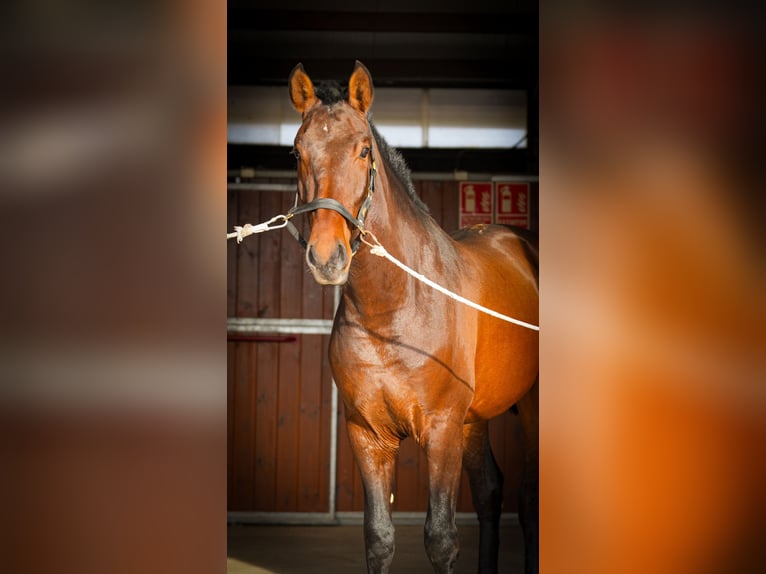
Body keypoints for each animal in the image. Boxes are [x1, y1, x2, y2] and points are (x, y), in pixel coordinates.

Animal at [286, 60, 540, 572]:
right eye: (296, 152)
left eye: (364, 150)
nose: (327, 257)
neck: (394, 312)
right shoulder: (368, 436)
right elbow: (380, 537)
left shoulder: (441, 432)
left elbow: (440, 538)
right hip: (474, 420)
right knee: (490, 493)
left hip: (528, 407)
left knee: (527, 501)